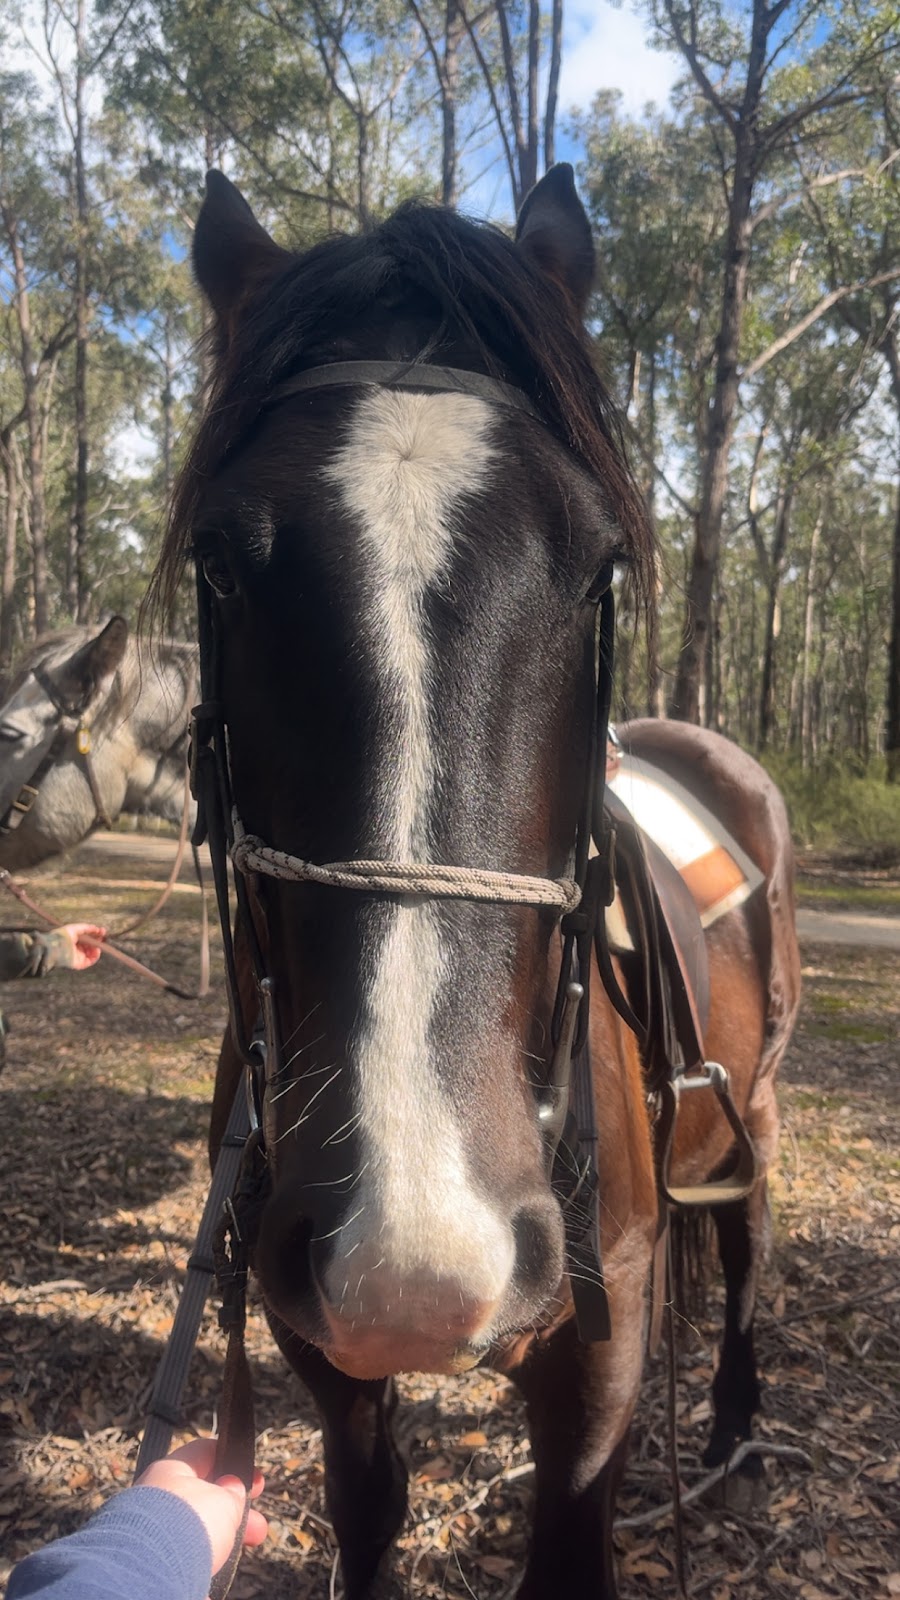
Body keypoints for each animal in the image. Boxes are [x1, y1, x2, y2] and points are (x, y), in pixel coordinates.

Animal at [151, 165, 801, 1598]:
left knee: (742, 1238)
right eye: (219, 563)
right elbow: (368, 1508)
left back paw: (735, 1421)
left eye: (602, 566)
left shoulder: (601, 1348)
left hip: (754, 1100)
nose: (416, 1262)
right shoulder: (320, 1340)